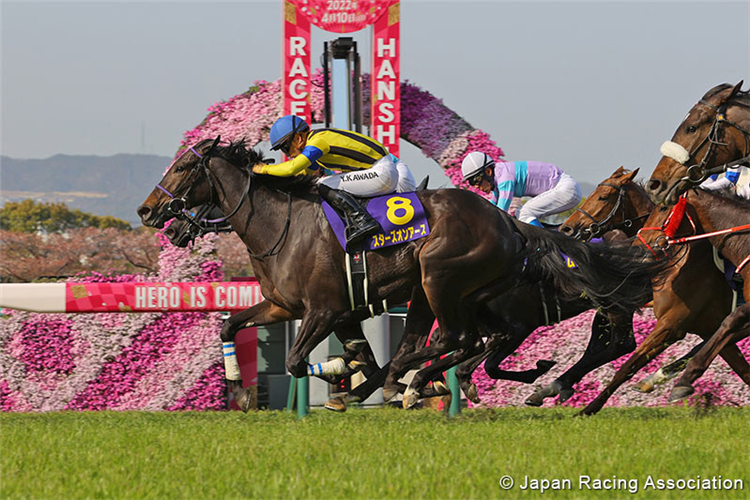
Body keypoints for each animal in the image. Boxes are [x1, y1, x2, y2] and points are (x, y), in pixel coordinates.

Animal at [137, 139, 664, 408]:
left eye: (182, 166)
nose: (148, 212)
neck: (281, 225)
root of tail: (508, 224)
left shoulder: (325, 309)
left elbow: (297, 362)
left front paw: (342, 377)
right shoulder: (284, 305)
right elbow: (230, 326)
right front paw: (237, 391)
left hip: (438, 277)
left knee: (457, 340)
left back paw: (411, 383)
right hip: (439, 294)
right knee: (462, 343)